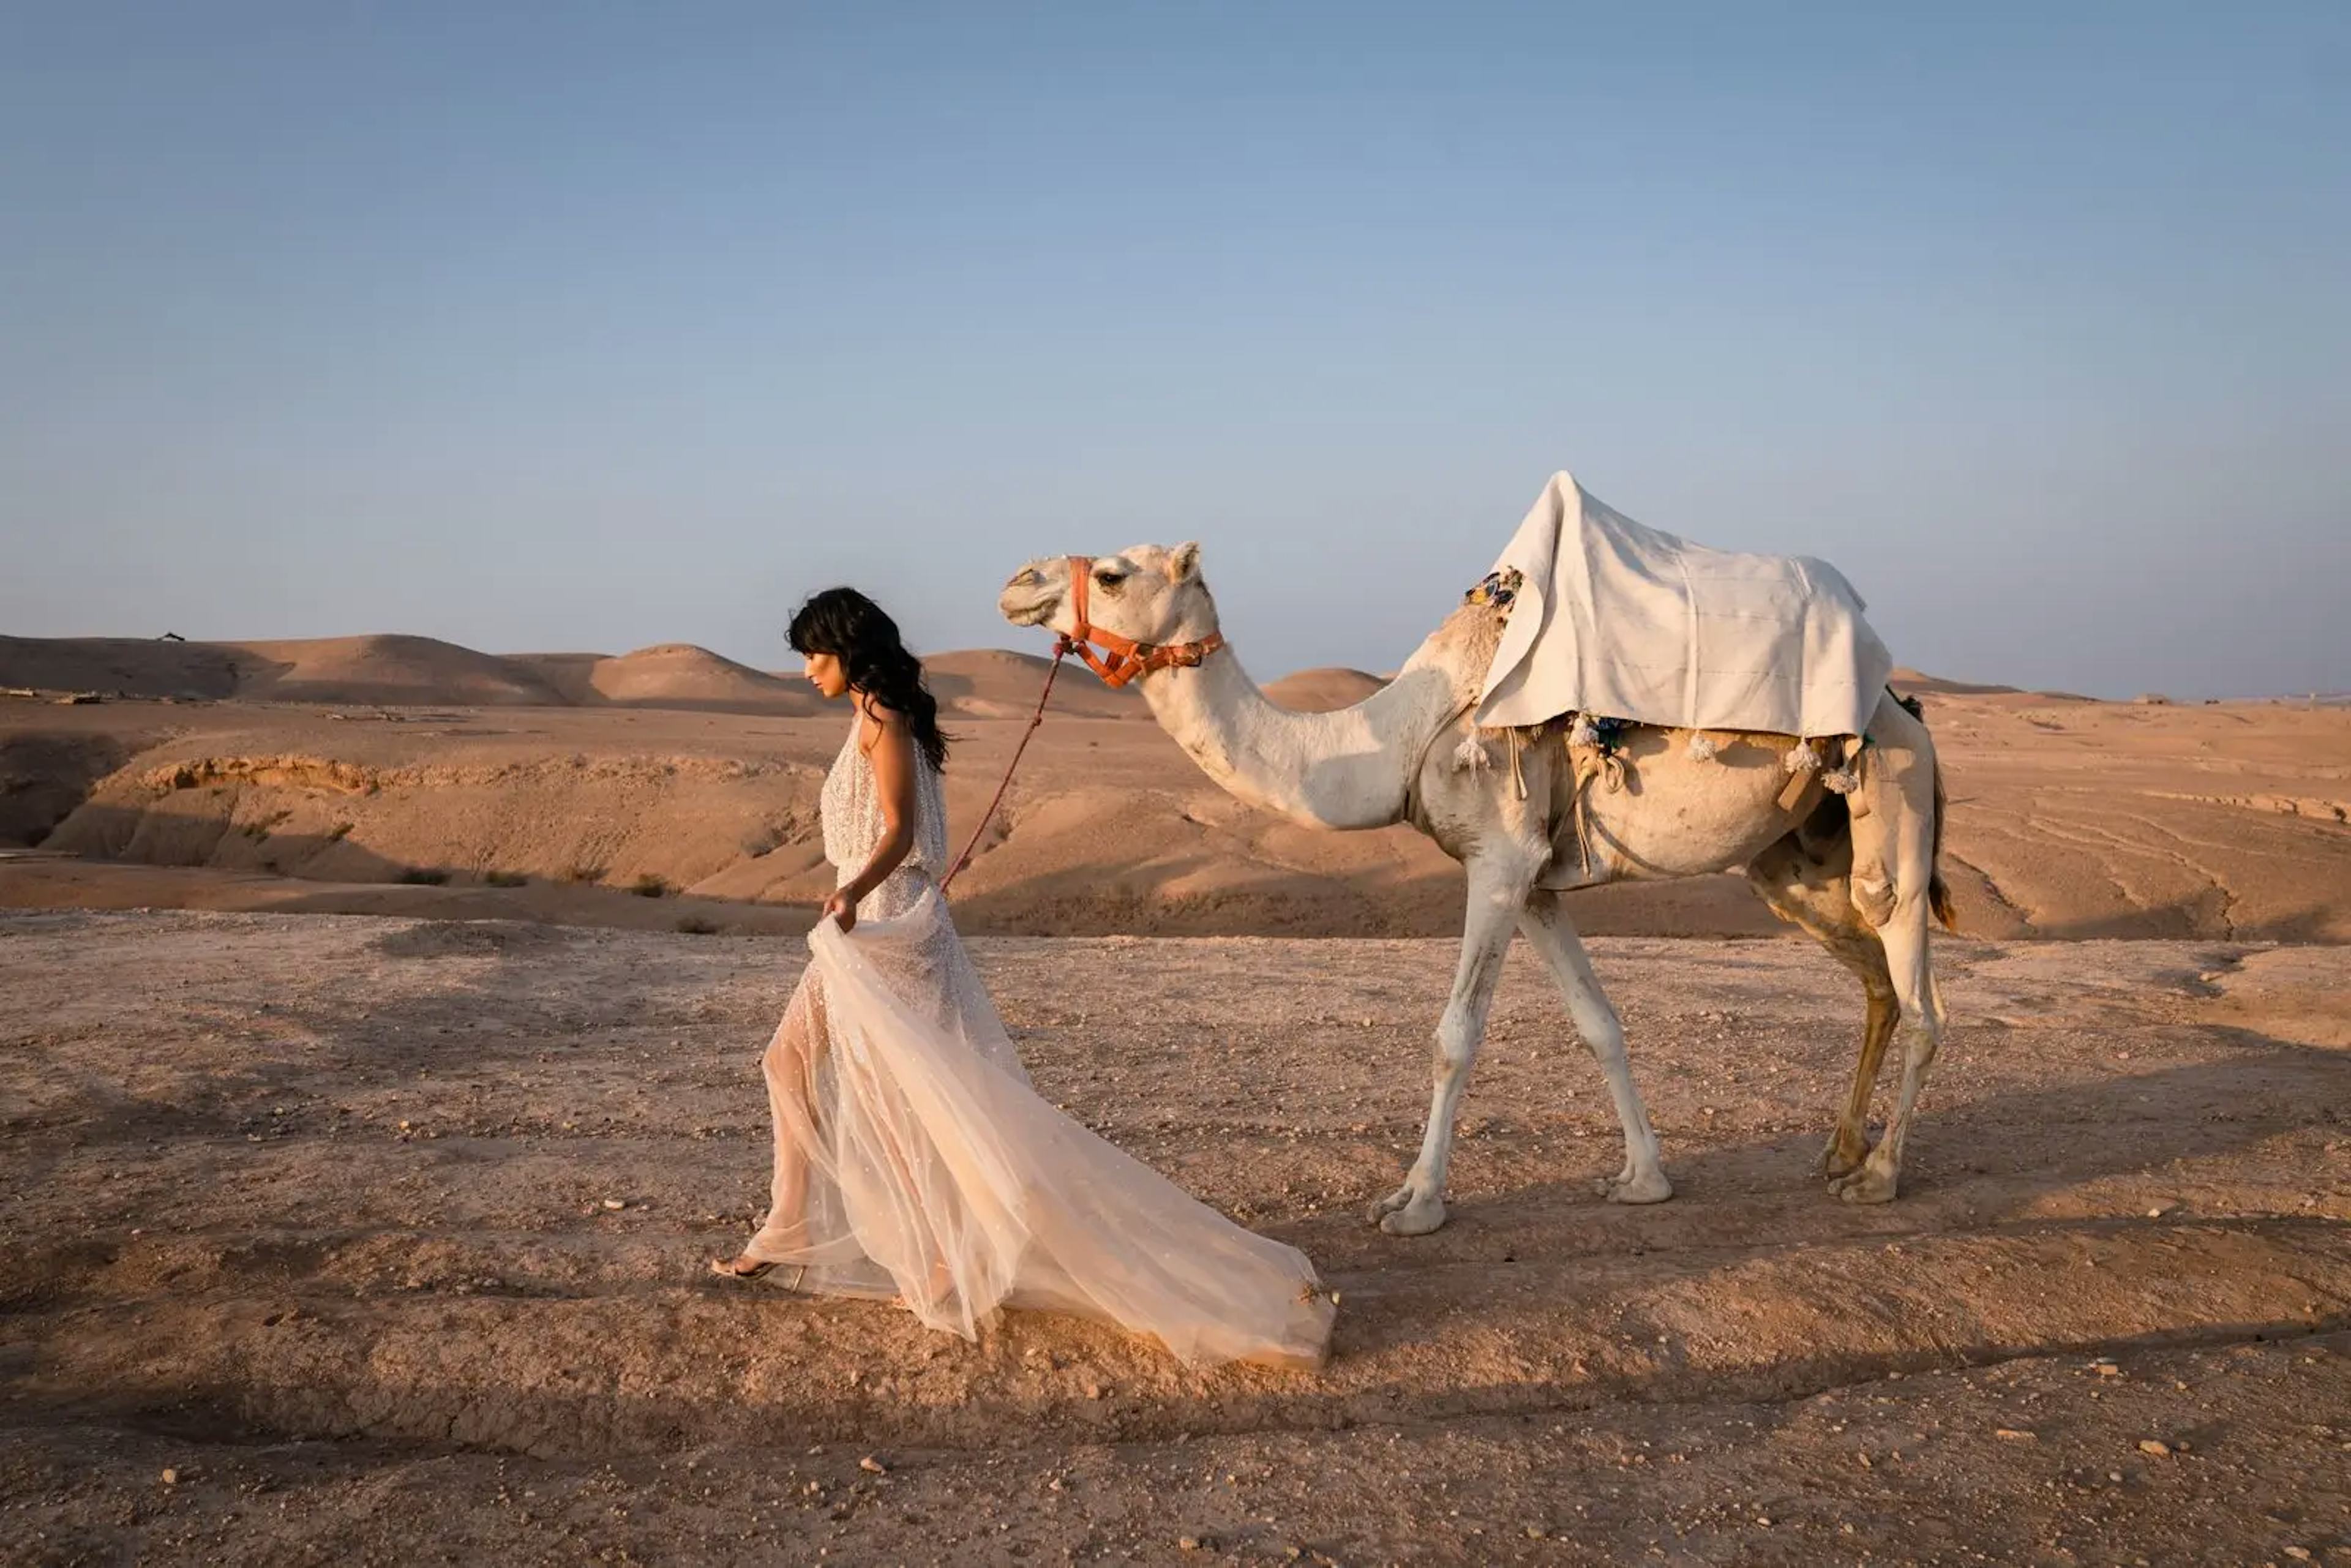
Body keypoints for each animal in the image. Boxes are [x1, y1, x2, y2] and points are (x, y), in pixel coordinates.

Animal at [1001, 545, 1955, 1231]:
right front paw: (1643, 1178)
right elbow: (1599, 1023)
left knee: (1919, 995)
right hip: (1793, 861)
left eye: (1115, 571)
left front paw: (1414, 1200)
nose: (1017, 582)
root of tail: (1905, 706)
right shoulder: (1532, 883)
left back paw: (1878, 1175)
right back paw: (1839, 1149)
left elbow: (1454, 1036)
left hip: (1894, 804)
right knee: (1876, 982)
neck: (1401, 733)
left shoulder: (1496, 861)